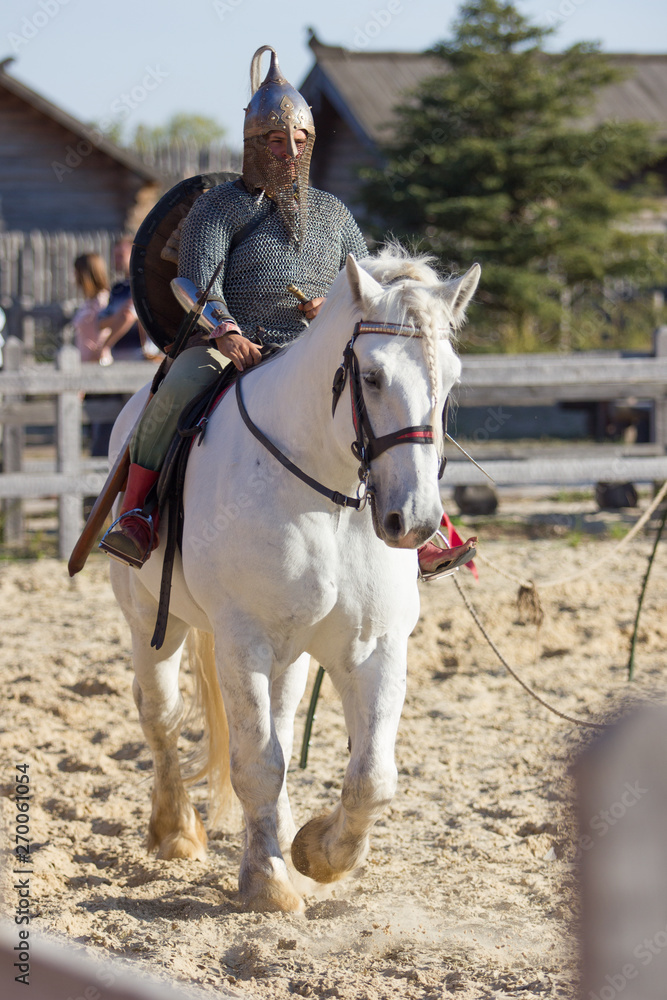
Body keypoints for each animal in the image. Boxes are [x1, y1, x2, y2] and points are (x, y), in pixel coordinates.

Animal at [107, 247, 480, 913]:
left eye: (452, 381)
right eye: (373, 377)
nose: (413, 520)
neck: (326, 494)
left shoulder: (378, 647)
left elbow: (371, 777)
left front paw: (315, 854)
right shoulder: (243, 642)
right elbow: (256, 762)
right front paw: (267, 881)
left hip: (292, 656)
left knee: (278, 728)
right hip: (154, 621)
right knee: (162, 716)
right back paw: (176, 830)